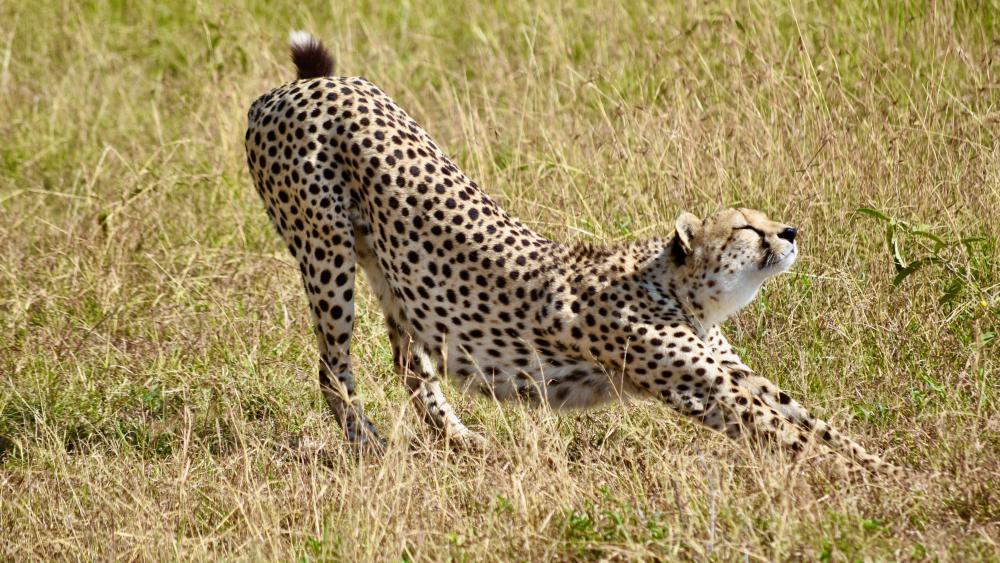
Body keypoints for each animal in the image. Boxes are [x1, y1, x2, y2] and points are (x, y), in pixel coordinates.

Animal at [243, 31, 904, 477]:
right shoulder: (705, 389)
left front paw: (885, 465)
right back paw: (372, 448)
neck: (679, 289)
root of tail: (307, 84)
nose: (790, 232)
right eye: (747, 227)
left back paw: (461, 442)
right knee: (334, 371)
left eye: (765, 218)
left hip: (391, 270)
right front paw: (876, 487)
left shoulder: (732, 371)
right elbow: (790, 437)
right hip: (325, 253)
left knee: (412, 365)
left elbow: (811, 420)